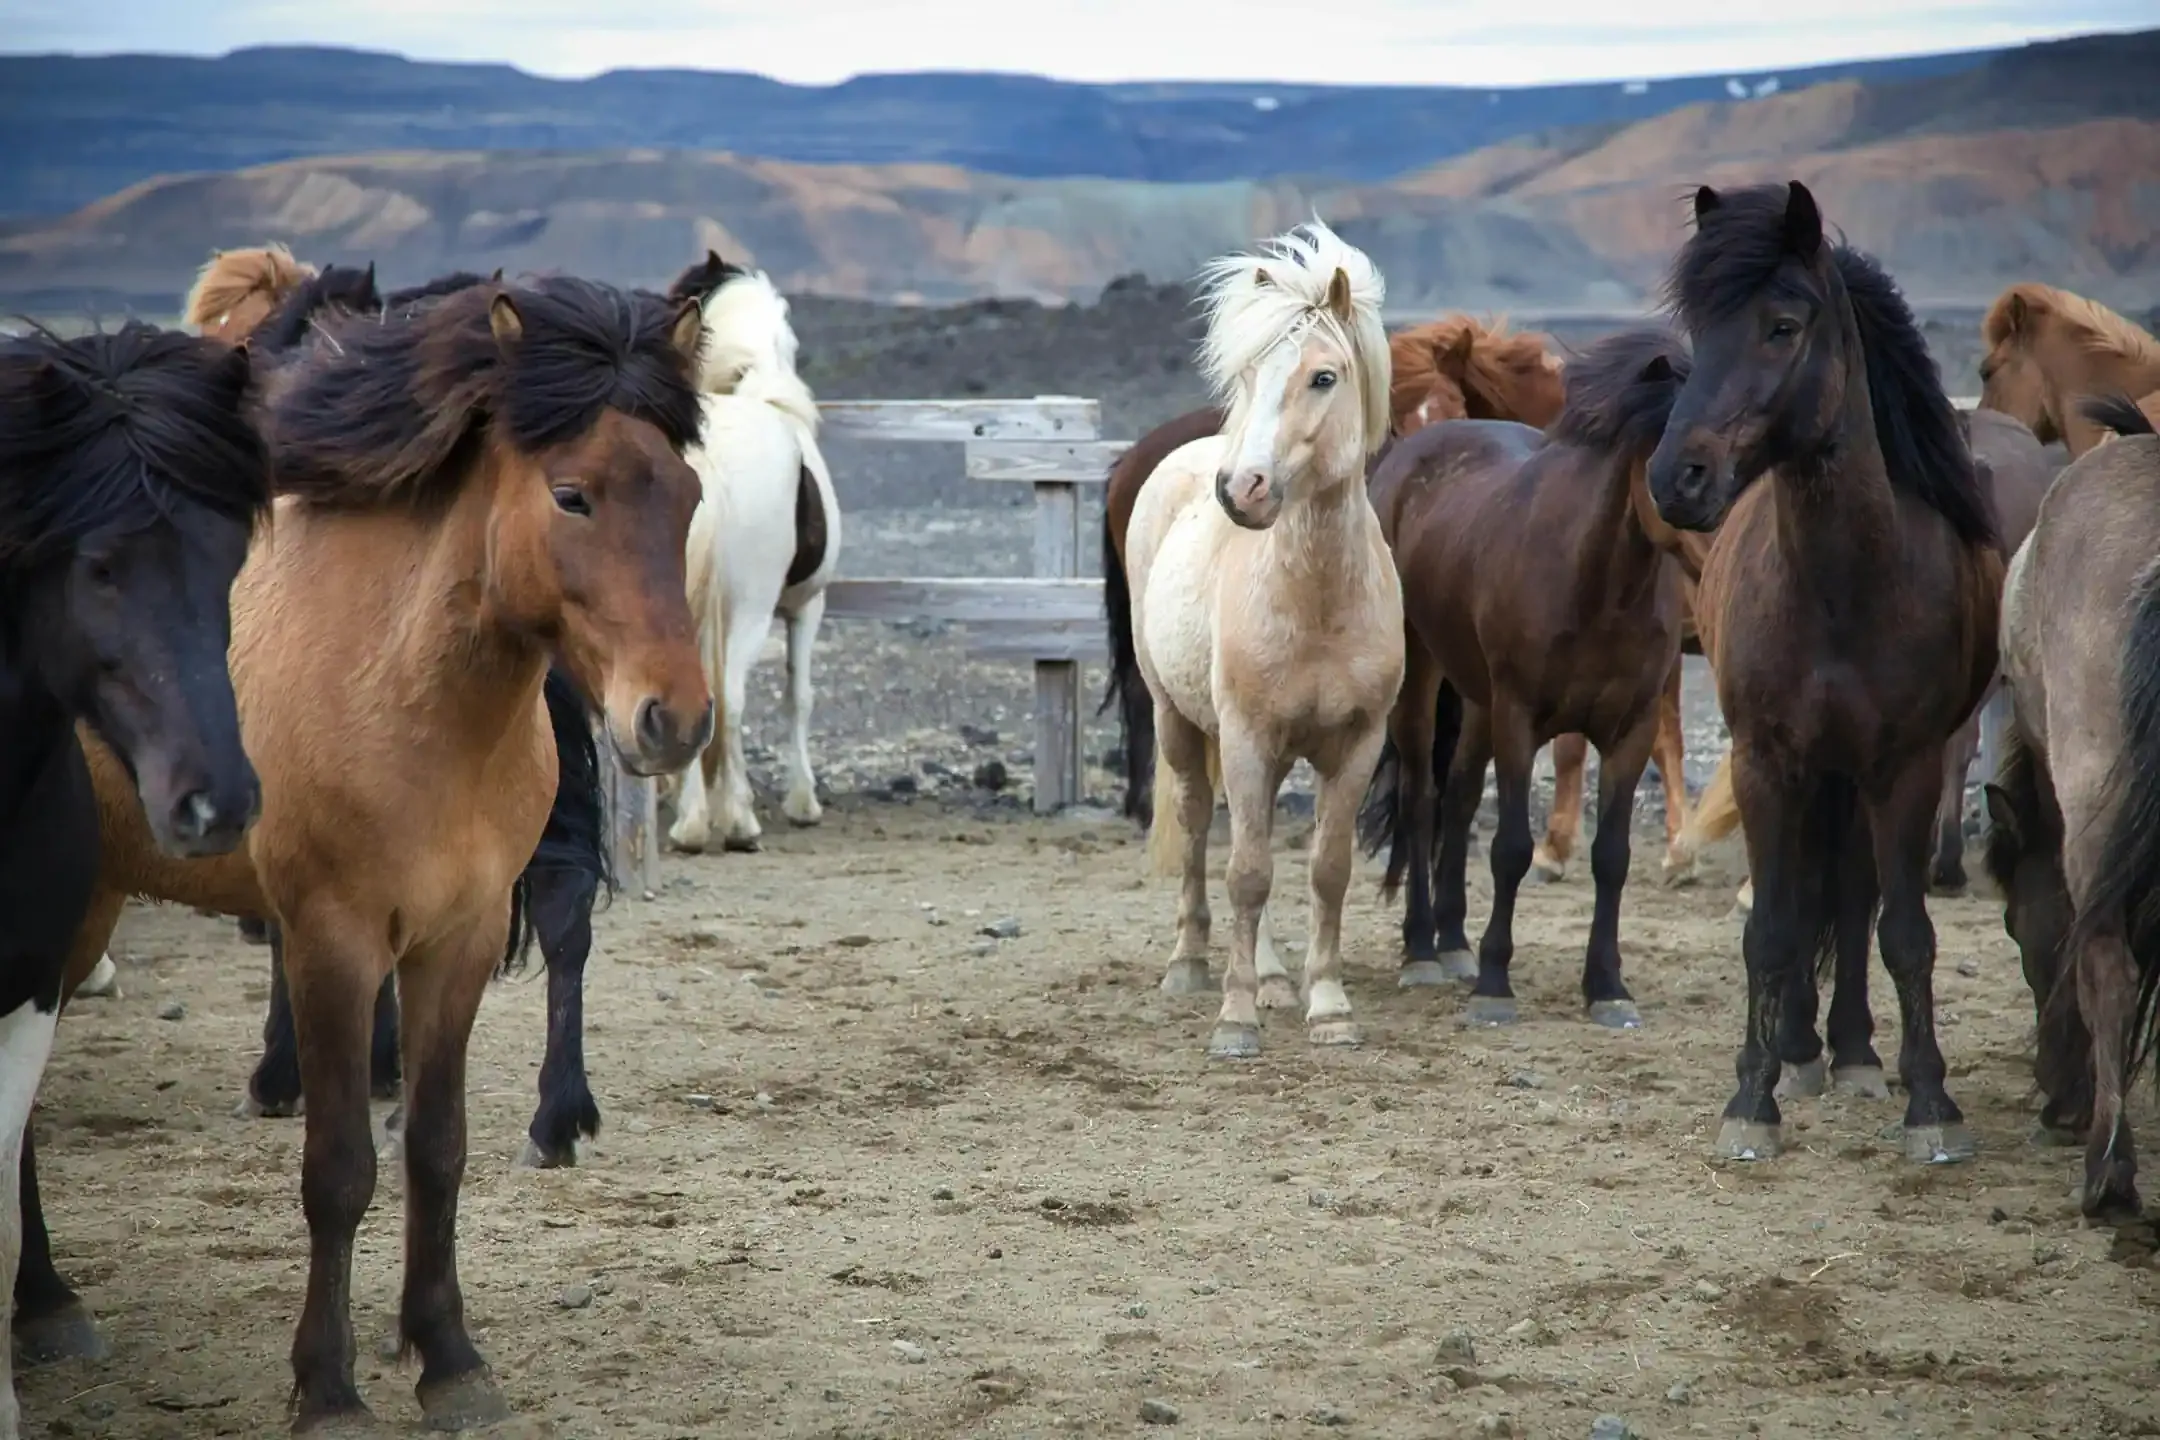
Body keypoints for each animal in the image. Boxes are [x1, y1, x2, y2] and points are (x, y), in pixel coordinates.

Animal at [45, 276, 713, 1429]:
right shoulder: (334, 939)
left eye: (687, 495)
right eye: (572, 496)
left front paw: (449, 1358)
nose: (675, 719)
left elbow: (436, 1150)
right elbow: (340, 1167)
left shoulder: (460, 937)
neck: (403, 690)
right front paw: (328, 1386)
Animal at [657, 251, 842, 855]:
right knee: (730, 701)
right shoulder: (808, 606)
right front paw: (802, 803)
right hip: (753, 613)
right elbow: (798, 697)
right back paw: (736, 823)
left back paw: (691, 824)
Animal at [1126, 220, 1401, 1058]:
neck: (1317, 604)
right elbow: (1245, 871)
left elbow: (1326, 870)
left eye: (1323, 377)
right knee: (1196, 829)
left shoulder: (1357, 742)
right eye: (1249, 375)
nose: (1239, 489)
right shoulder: (1247, 737)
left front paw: (1330, 1006)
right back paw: (1191, 964)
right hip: (1178, 722)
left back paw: (1280, 977)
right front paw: (1236, 1017)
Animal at [1355, 325, 1690, 1026]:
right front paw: (1494, 985)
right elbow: (1510, 848)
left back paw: (1453, 941)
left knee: (1456, 798)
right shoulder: (1518, 718)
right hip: (1422, 683)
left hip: (1477, 699)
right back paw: (1423, 950)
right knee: (1421, 799)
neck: (1598, 584)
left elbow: (1612, 857)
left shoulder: (1631, 729)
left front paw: (1607, 986)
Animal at [1646, 180, 2001, 1165]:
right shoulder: (1768, 761)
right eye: (1699, 326)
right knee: (1811, 894)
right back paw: (1803, 1050)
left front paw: (1931, 1104)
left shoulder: (1905, 767)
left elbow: (1904, 932)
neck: (1843, 588)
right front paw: (1751, 1096)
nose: (1677, 477)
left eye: (1782, 325)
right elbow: (1772, 927)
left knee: (1851, 894)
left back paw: (1851, 1052)